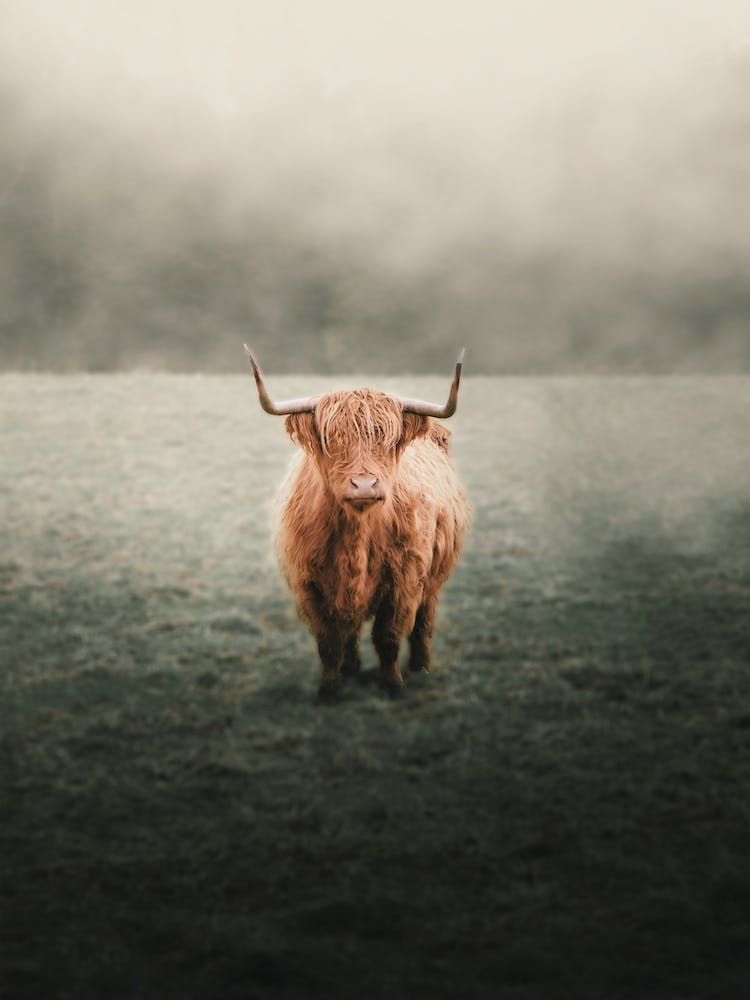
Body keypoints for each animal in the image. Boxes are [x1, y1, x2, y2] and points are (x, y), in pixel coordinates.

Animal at [245, 346, 471, 699]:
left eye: (388, 440)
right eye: (331, 439)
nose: (364, 485)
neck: (358, 533)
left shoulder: (404, 580)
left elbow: (388, 636)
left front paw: (393, 684)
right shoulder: (310, 584)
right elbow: (328, 641)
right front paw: (329, 689)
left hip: (434, 576)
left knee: (424, 621)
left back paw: (421, 666)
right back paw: (350, 668)